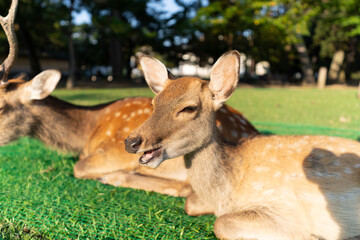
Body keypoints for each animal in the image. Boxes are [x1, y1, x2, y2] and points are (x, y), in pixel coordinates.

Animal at [125, 49, 360, 239]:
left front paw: (314, 236)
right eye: (154, 103)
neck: (228, 190)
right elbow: (190, 202)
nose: (131, 142)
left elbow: (221, 223)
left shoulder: (287, 207)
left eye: (188, 108)